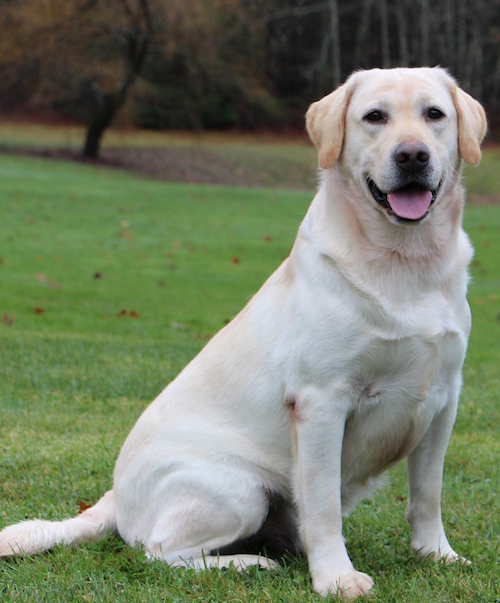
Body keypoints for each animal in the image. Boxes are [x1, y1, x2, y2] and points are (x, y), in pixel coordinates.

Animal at [0, 67, 484, 600]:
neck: (407, 264)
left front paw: (437, 556)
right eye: (374, 117)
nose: (413, 155)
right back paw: (251, 564)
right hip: (241, 489)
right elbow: (322, 507)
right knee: (158, 553)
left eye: (434, 114)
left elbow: (428, 494)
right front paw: (336, 577)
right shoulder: (321, 402)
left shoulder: (443, 399)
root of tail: (114, 497)